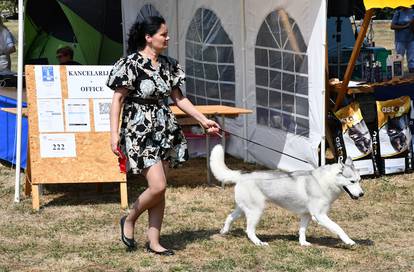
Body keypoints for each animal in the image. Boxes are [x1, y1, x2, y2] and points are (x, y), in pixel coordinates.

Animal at [209, 144, 364, 246]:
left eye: (360, 180)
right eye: (352, 181)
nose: (362, 194)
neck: (326, 181)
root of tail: (242, 175)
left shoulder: (306, 215)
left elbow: (302, 230)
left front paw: (303, 243)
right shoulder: (319, 216)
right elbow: (338, 228)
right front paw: (349, 241)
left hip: (243, 209)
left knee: (229, 217)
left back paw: (224, 231)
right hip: (256, 211)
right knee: (249, 230)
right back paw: (259, 243)